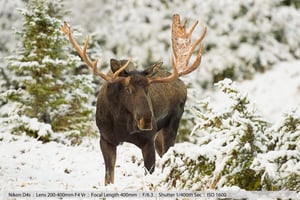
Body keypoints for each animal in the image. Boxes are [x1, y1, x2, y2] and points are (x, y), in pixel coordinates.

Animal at [61, 14, 206, 185]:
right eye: (128, 89)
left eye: (148, 89)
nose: (147, 120)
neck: (121, 124)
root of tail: (182, 83)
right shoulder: (106, 139)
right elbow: (109, 177)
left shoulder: (147, 140)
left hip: (172, 125)